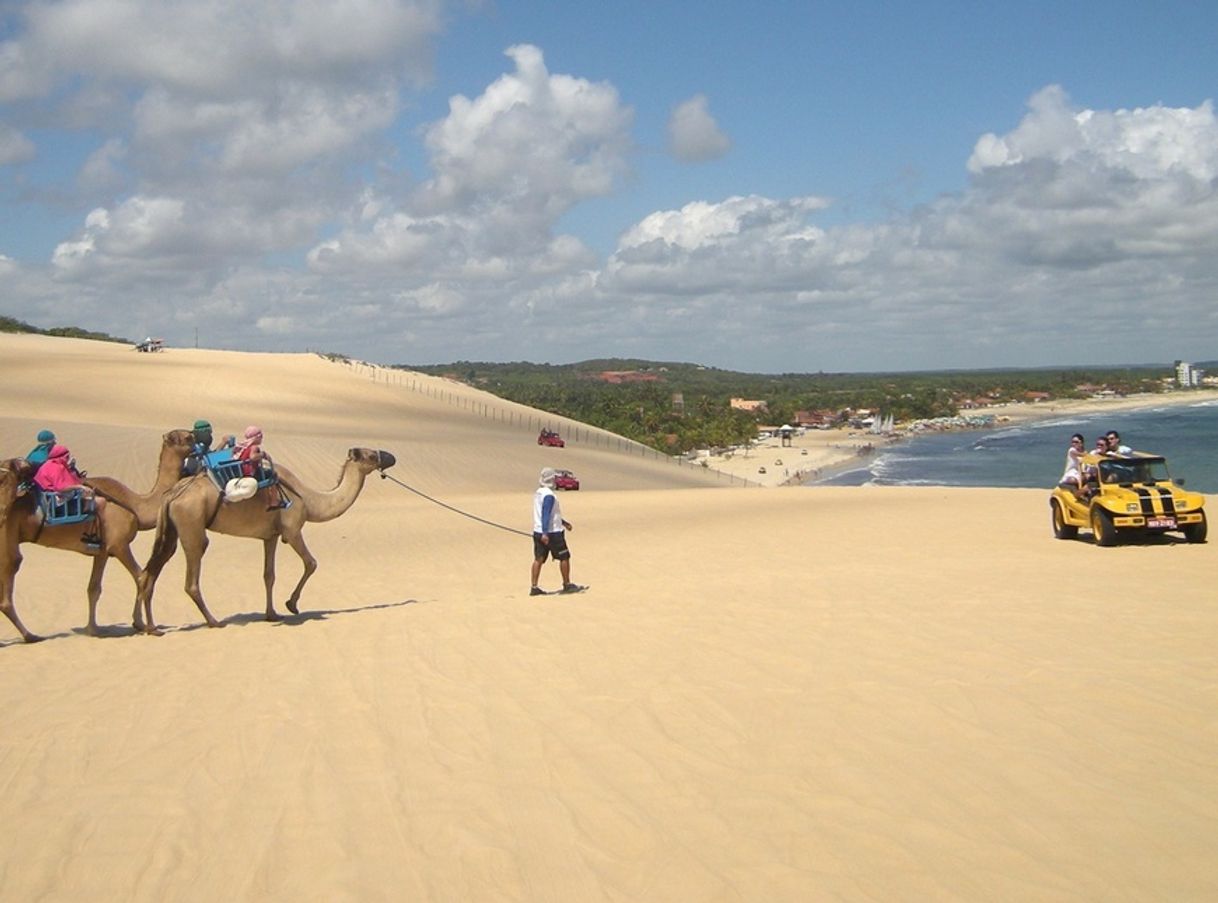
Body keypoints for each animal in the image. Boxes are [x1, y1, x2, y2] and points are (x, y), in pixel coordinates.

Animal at [0, 428, 197, 643]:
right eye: (188, 437)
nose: (198, 443)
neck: (135, 505)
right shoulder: (119, 545)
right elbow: (140, 577)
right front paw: (146, 626)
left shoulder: (102, 551)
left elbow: (94, 588)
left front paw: (95, 629)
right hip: (8, 535)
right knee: (11, 573)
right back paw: (30, 635)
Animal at [137, 446, 394, 628]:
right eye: (371, 455)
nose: (391, 456)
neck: (310, 501)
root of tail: (172, 494)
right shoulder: (292, 530)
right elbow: (311, 563)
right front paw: (291, 605)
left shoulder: (270, 536)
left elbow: (268, 575)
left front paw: (271, 614)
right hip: (191, 524)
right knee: (191, 577)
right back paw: (213, 621)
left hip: (170, 529)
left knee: (151, 569)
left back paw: (150, 627)